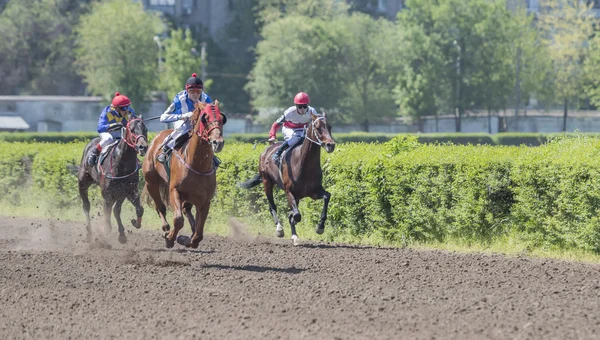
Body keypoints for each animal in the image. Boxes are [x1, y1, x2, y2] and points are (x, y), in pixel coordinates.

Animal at [142, 99, 226, 248]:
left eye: (222, 119)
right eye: (205, 118)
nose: (218, 142)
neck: (197, 165)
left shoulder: (205, 200)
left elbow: (198, 234)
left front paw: (186, 239)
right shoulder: (174, 190)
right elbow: (178, 219)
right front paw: (170, 238)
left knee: (186, 210)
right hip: (151, 182)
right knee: (160, 207)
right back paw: (166, 229)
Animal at [239, 111, 336, 244]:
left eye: (330, 126)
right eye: (318, 128)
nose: (330, 145)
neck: (304, 164)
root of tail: (266, 151)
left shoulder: (313, 192)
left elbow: (327, 196)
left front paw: (320, 227)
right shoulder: (289, 191)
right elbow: (296, 215)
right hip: (267, 182)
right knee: (272, 206)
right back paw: (279, 229)